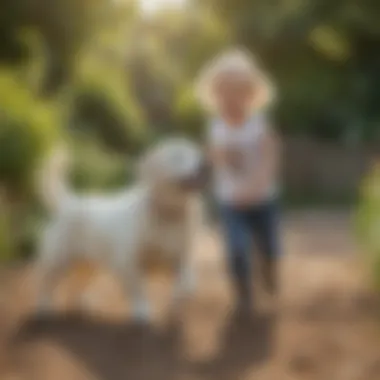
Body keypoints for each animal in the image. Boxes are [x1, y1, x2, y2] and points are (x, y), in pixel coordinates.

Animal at [35, 138, 206, 322]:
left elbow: (186, 283)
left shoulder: (180, 256)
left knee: (77, 283)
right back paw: (44, 307)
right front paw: (142, 312)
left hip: (88, 264)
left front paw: (177, 302)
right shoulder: (127, 262)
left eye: (197, 152)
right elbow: (137, 290)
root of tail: (68, 202)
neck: (170, 214)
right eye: (177, 155)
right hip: (58, 260)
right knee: (46, 283)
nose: (206, 165)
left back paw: (81, 305)